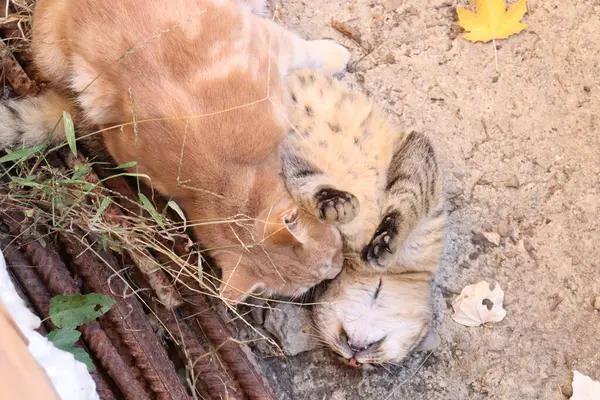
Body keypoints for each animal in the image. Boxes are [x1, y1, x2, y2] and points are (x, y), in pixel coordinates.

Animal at [0, 0, 350, 300]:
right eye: (314, 281)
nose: (337, 271)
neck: (222, 181)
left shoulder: (266, 44)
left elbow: (306, 49)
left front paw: (336, 54)